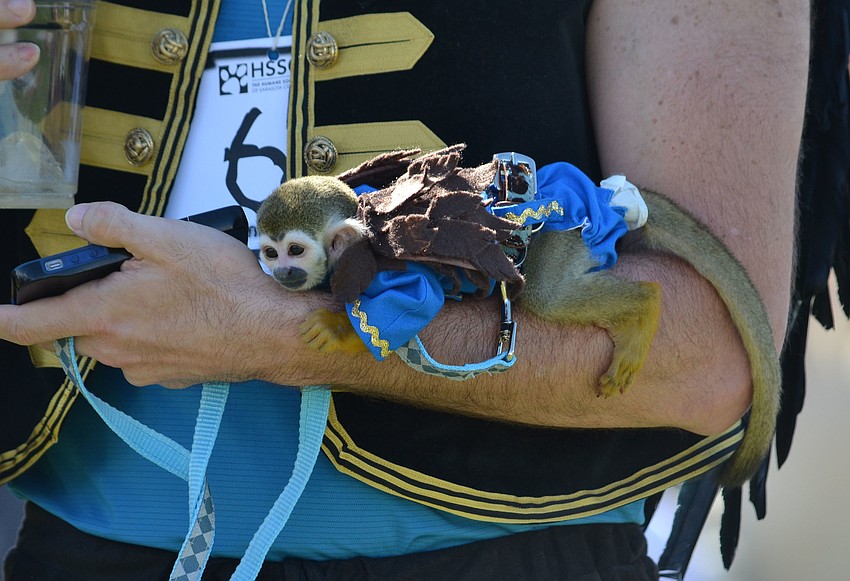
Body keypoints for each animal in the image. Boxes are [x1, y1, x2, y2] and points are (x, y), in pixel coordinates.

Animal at [255, 163, 779, 489]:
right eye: (270, 252)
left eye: (296, 250)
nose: (284, 272)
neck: (360, 234)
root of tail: (605, 194)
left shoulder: (389, 261)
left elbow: (412, 301)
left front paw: (339, 328)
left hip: (563, 235)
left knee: (550, 294)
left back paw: (645, 306)